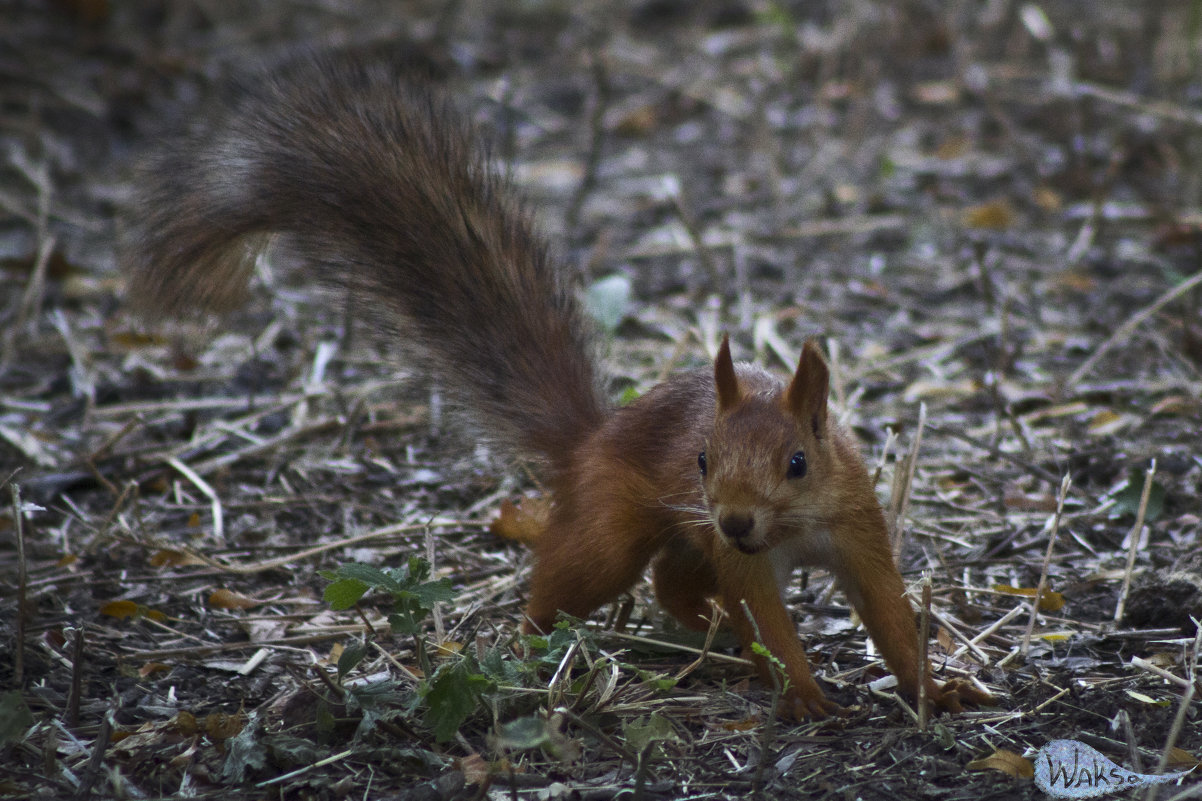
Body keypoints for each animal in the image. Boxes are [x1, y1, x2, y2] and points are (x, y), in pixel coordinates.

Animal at [126, 52, 995, 721]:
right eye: (704, 459)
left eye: (798, 463)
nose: (737, 518)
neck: (791, 530)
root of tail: (592, 440)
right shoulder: (736, 550)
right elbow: (770, 622)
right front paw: (804, 691)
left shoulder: (857, 526)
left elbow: (889, 614)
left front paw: (934, 690)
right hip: (618, 528)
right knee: (580, 580)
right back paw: (540, 637)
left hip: (682, 534)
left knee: (673, 581)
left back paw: (710, 631)